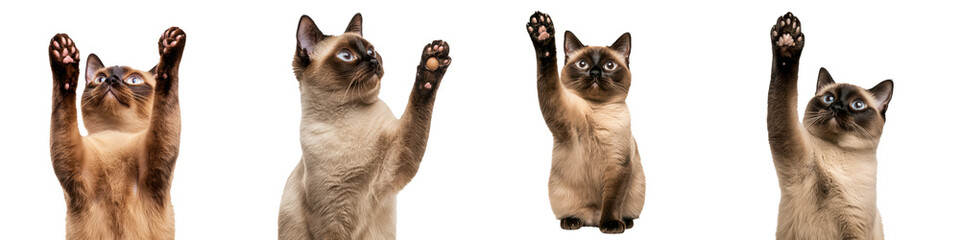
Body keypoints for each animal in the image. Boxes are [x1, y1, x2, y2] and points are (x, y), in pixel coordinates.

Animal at [47, 26, 186, 240]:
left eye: (134, 80)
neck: (114, 136)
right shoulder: (73, 165)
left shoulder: (155, 161)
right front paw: (64, 55)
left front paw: (170, 43)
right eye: (100, 79)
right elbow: (64, 107)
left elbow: (165, 90)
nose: (111, 80)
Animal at [280, 13, 452, 240]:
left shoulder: (396, 163)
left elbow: (417, 106)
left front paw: (433, 62)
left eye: (371, 51)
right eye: (346, 55)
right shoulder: (330, 219)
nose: (373, 60)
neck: (349, 118)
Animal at [524, 11, 644, 234]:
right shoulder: (559, 111)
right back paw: (572, 222)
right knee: (572, 215)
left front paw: (611, 225)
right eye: (583, 65)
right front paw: (542, 32)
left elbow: (612, 200)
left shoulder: (618, 166)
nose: (595, 73)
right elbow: (549, 78)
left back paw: (625, 222)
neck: (597, 111)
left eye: (609, 65)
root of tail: (592, 220)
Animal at [764, 12, 892, 239]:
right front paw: (787, 37)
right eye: (828, 98)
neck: (838, 156)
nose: (837, 107)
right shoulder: (789, 140)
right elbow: (785, 92)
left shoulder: (855, 229)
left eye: (857, 105)